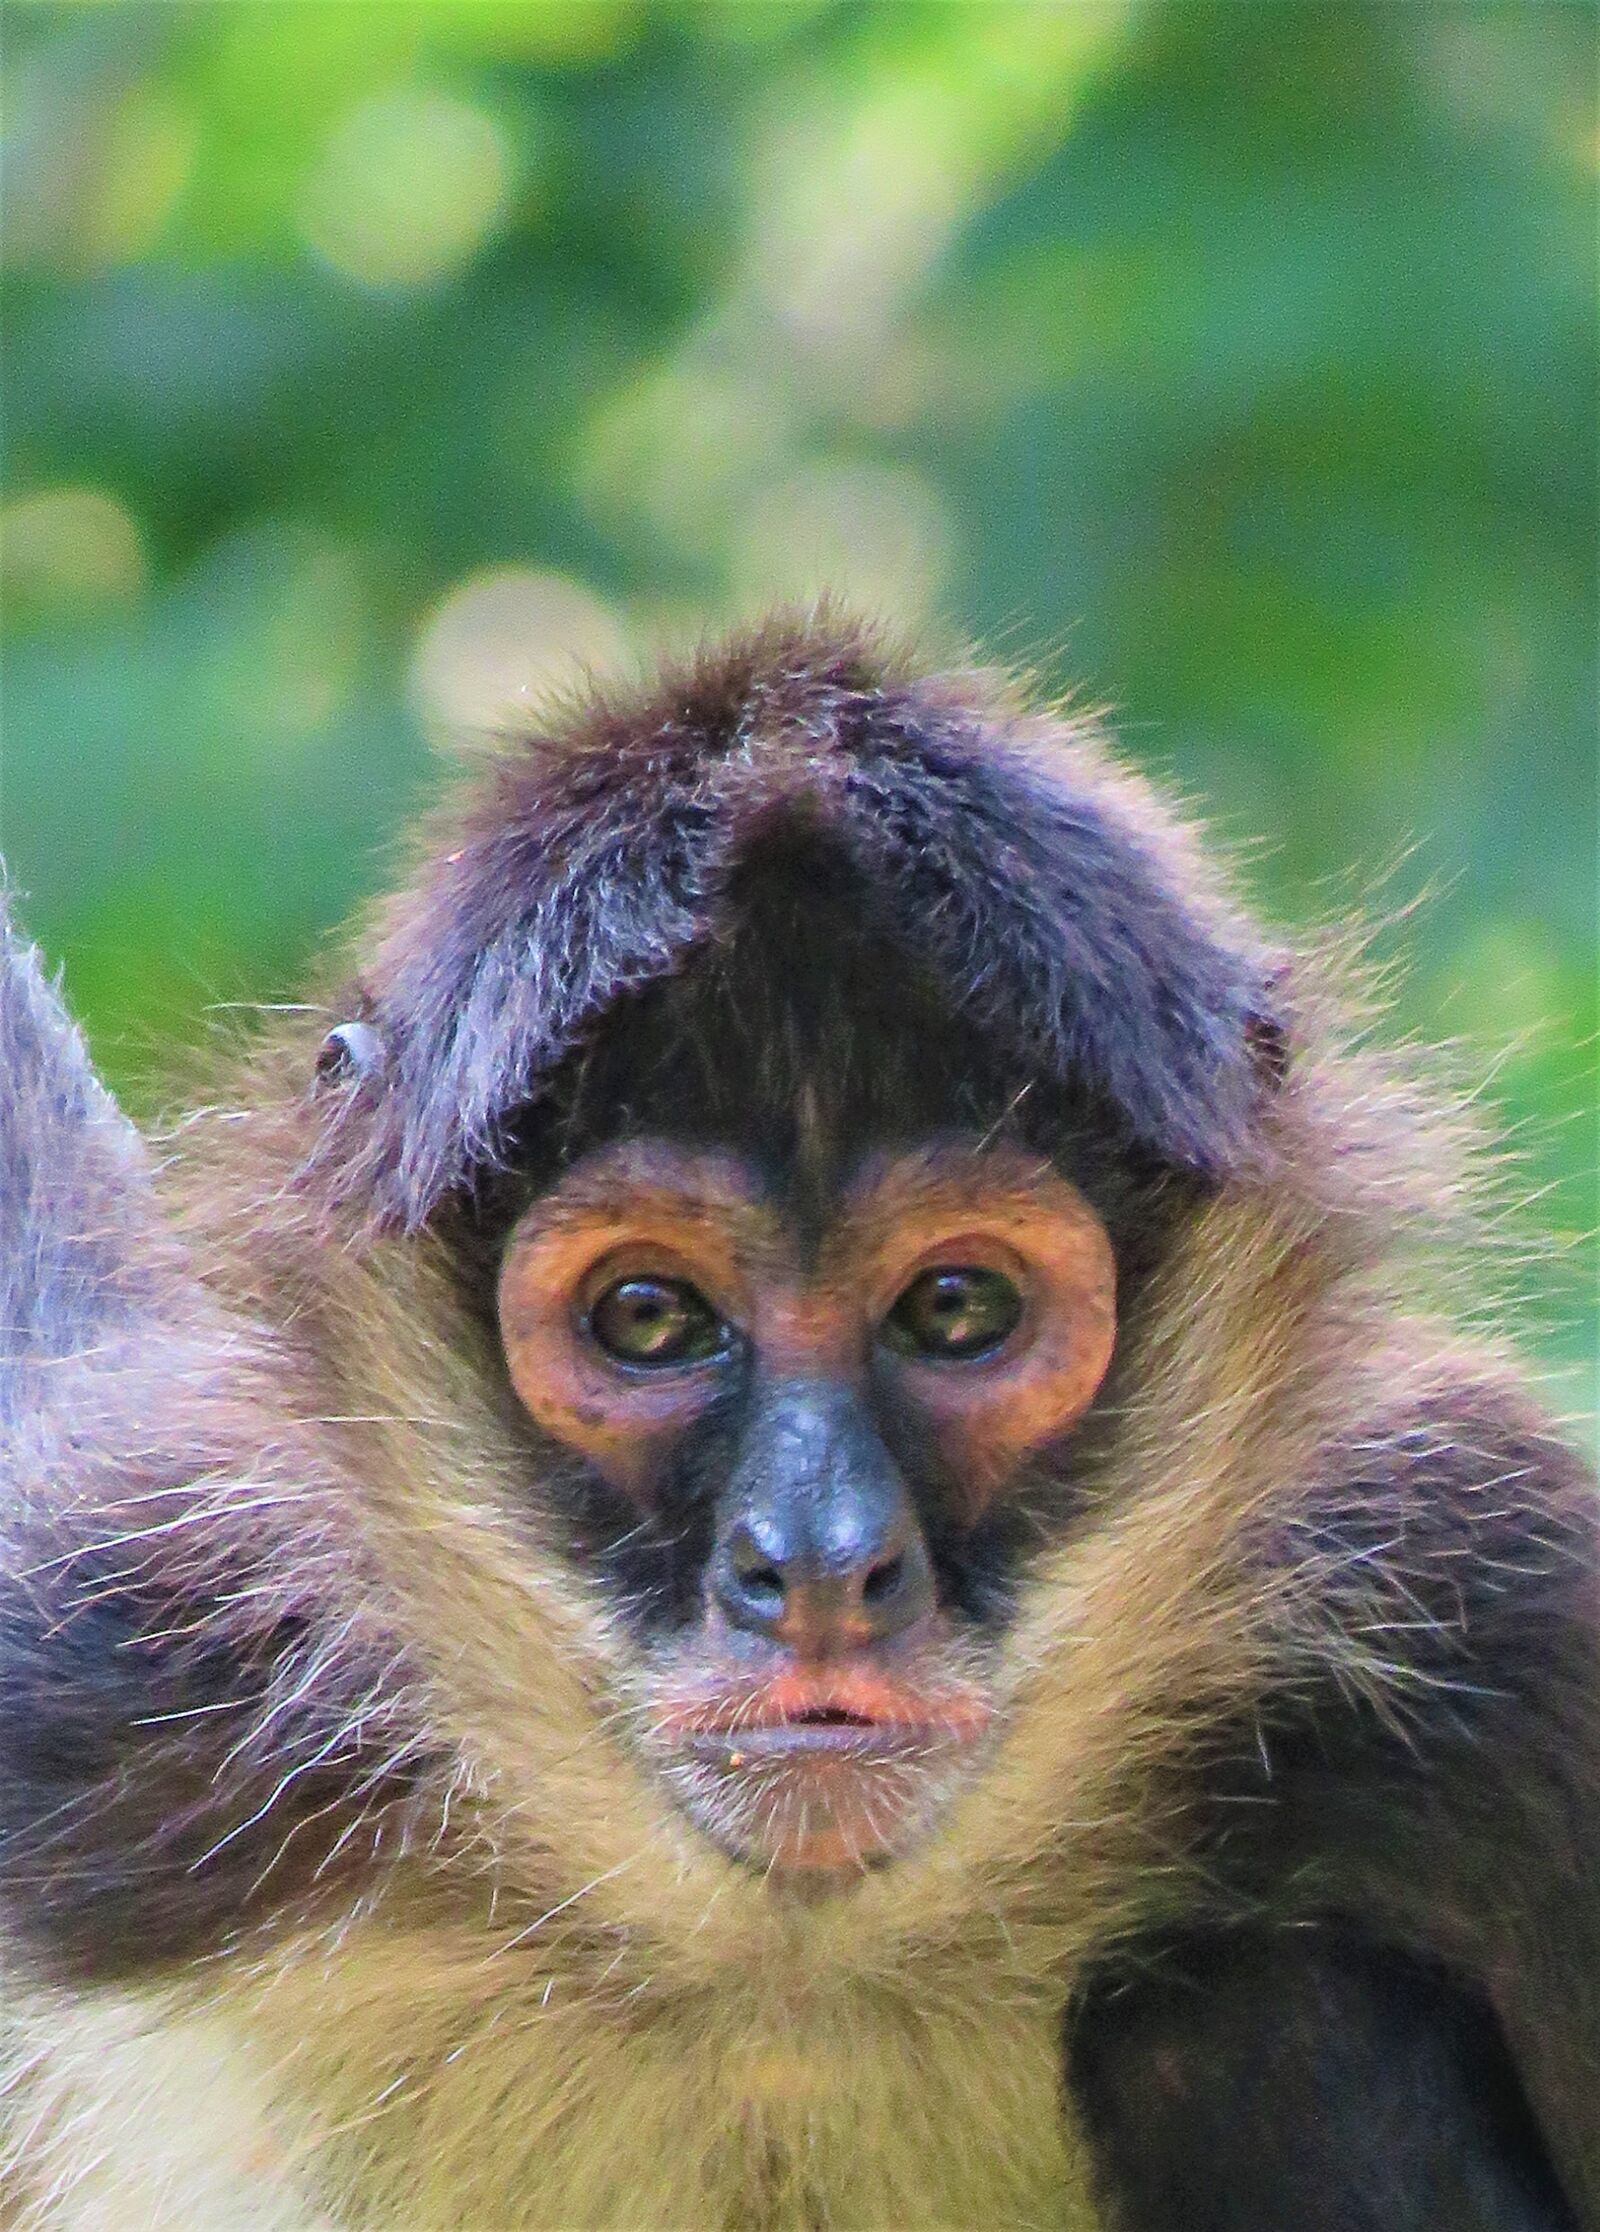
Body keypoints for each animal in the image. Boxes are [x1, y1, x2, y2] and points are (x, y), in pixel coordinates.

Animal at [0, 609, 1594, 2232]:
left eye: (955, 1309)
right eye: (649, 1319)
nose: (819, 1565)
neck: (784, 1978)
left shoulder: (1498, 1596)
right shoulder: (105, 1664)